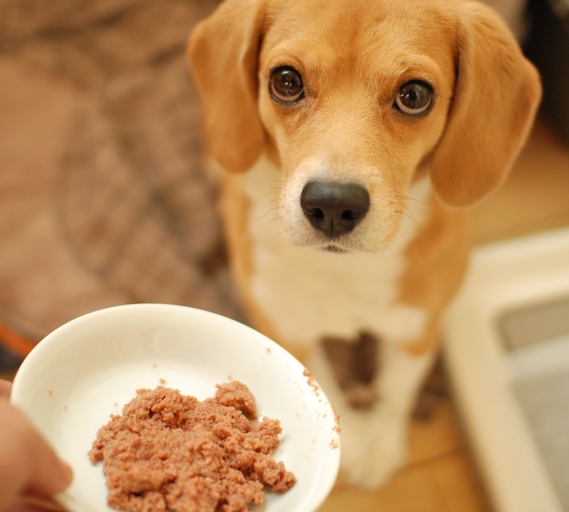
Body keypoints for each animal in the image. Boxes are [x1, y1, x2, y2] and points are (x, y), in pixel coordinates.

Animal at [189, 0, 540, 488]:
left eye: (414, 95)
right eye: (286, 81)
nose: (332, 205)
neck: (345, 269)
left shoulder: (417, 327)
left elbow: (396, 390)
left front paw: (381, 448)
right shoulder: (286, 328)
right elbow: (324, 386)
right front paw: (352, 443)